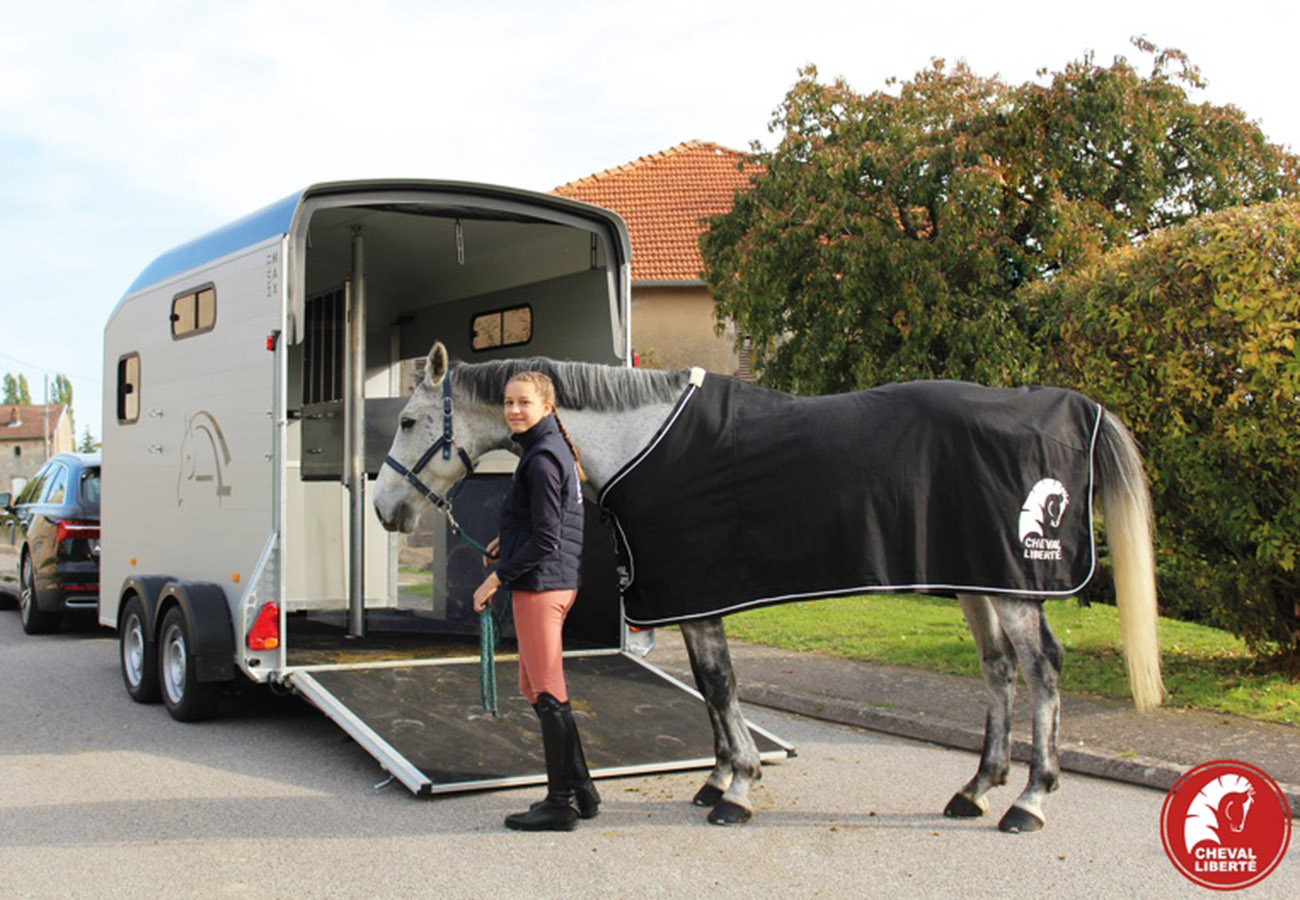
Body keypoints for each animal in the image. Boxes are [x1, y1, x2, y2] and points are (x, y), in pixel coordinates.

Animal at [373, 341, 1164, 833]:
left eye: (409, 420)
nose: (386, 509)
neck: (641, 438)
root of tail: (1067, 408)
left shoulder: (698, 592)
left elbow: (721, 686)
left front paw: (739, 790)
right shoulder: (692, 597)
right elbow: (709, 686)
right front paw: (719, 780)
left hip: (1015, 587)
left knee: (1042, 671)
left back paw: (1030, 800)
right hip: (975, 580)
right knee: (999, 672)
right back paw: (975, 789)